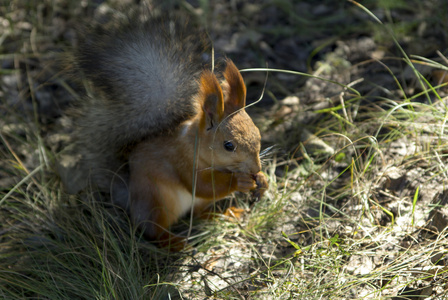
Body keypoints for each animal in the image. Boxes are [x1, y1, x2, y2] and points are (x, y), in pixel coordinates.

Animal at [69, 10, 266, 247]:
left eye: (258, 134)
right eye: (228, 145)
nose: (255, 168)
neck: (194, 143)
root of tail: (129, 196)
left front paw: (262, 179)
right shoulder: (181, 161)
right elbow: (202, 186)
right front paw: (240, 181)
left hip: (192, 203)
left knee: (198, 214)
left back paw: (225, 213)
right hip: (157, 200)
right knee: (152, 230)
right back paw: (175, 243)